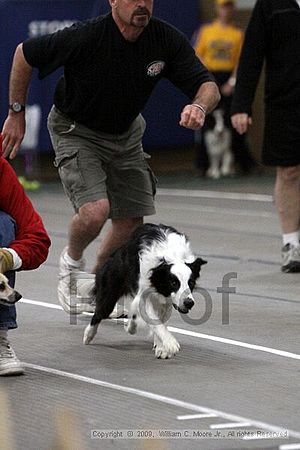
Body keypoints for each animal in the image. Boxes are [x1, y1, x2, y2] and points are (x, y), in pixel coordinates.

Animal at [83, 223, 207, 360]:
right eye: (174, 283)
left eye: (191, 283)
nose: (189, 303)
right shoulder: (144, 294)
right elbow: (156, 322)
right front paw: (170, 344)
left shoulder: (166, 301)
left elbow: (160, 321)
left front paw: (161, 348)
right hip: (110, 291)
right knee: (99, 313)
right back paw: (88, 335)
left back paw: (132, 326)